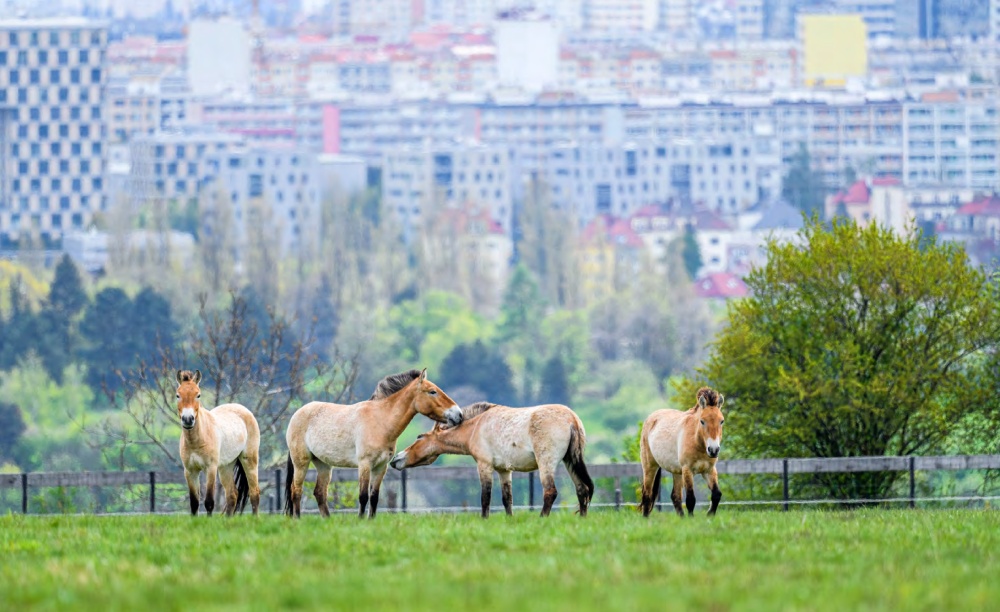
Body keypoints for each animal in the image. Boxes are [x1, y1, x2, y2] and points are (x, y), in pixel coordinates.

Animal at [176, 368, 262, 516]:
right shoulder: (190, 471)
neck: (197, 439)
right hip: (226, 466)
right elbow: (194, 503)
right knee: (232, 495)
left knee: (254, 493)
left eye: (198, 395)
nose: (188, 419)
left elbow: (209, 502)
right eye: (177, 395)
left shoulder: (210, 469)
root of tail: (244, 410)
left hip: (249, 460)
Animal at [284, 370, 462, 520]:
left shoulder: (381, 467)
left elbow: (374, 497)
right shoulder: (365, 464)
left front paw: (370, 520)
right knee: (296, 490)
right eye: (432, 391)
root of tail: (296, 415)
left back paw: (327, 520)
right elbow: (363, 496)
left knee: (320, 493)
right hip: (301, 462)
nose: (458, 415)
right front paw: (361, 520)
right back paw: (297, 520)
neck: (381, 421)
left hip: (323, 465)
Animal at [390, 404, 592, 520]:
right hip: (570, 462)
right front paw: (509, 520)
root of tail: (572, 419)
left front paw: (484, 519)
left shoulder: (484, 465)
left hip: (546, 464)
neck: (476, 427)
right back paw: (582, 519)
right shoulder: (504, 471)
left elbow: (485, 497)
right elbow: (507, 499)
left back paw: (542, 518)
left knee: (550, 492)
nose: (395, 460)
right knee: (582, 489)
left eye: (419, 437)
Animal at [640, 388, 728, 516]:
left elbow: (716, 495)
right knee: (647, 495)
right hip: (650, 466)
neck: (698, 444)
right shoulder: (688, 469)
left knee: (675, 496)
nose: (713, 450)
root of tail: (650, 418)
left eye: (721, 421)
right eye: (702, 421)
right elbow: (691, 499)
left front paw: (709, 515)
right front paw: (691, 519)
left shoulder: (709, 470)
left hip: (677, 471)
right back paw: (646, 518)